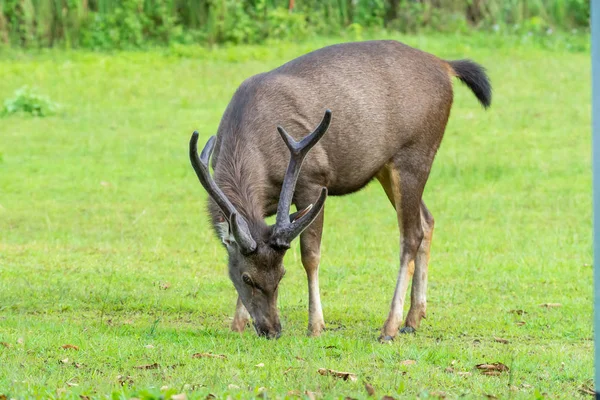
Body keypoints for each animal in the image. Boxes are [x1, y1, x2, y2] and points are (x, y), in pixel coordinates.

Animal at [190, 39, 490, 340]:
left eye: (282, 274)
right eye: (246, 277)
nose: (272, 329)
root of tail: (446, 65)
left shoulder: (312, 179)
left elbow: (310, 256)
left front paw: (316, 325)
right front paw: (237, 324)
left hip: (416, 152)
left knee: (411, 235)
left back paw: (390, 327)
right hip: (386, 167)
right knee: (428, 220)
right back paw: (413, 319)